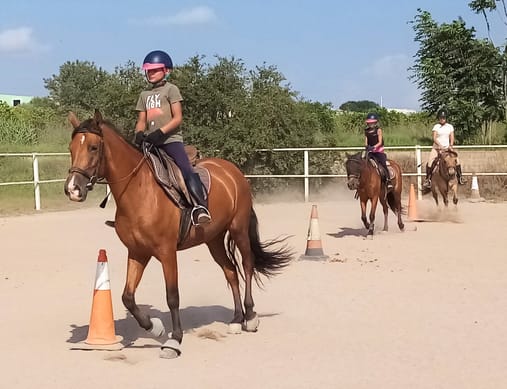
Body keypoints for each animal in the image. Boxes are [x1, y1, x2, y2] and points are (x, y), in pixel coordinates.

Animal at [63, 110, 294, 358]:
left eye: (93, 147)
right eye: (71, 148)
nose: (73, 189)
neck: (140, 191)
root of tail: (232, 171)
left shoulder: (167, 252)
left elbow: (172, 296)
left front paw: (174, 340)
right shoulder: (137, 252)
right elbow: (127, 296)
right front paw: (154, 327)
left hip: (238, 229)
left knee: (247, 266)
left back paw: (250, 317)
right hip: (213, 240)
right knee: (230, 271)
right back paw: (235, 319)